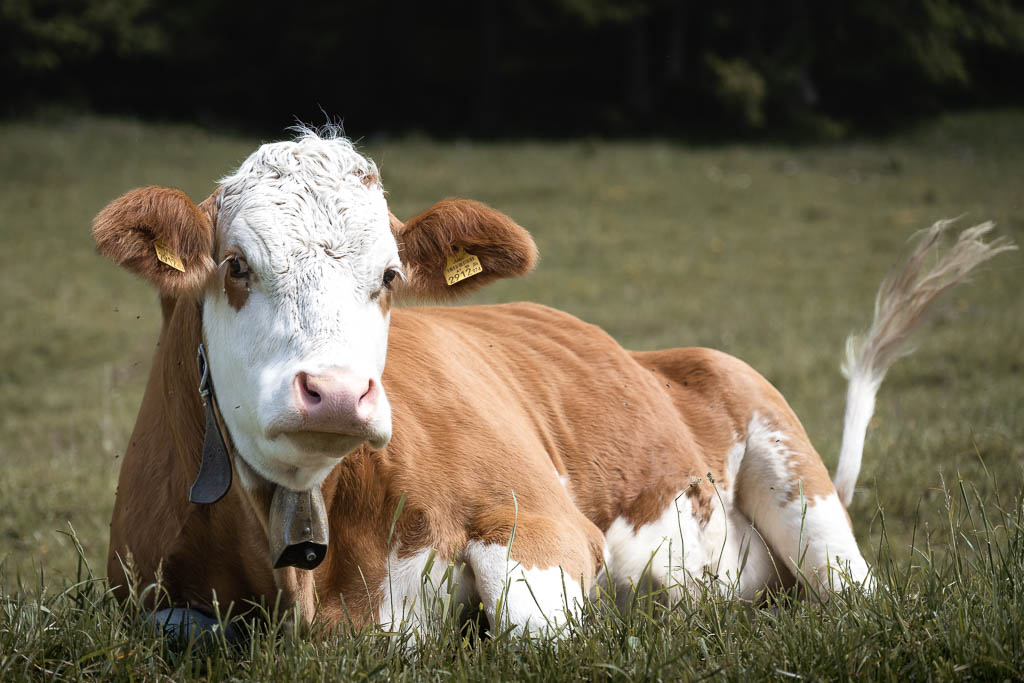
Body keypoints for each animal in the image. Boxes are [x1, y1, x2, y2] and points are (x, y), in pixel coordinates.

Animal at [94, 125, 1015, 638]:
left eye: (389, 276)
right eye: (236, 265)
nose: (338, 392)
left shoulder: (541, 519)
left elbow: (534, 627)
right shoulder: (138, 591)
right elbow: (178, 626)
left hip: (802, 488)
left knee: (852, 591)